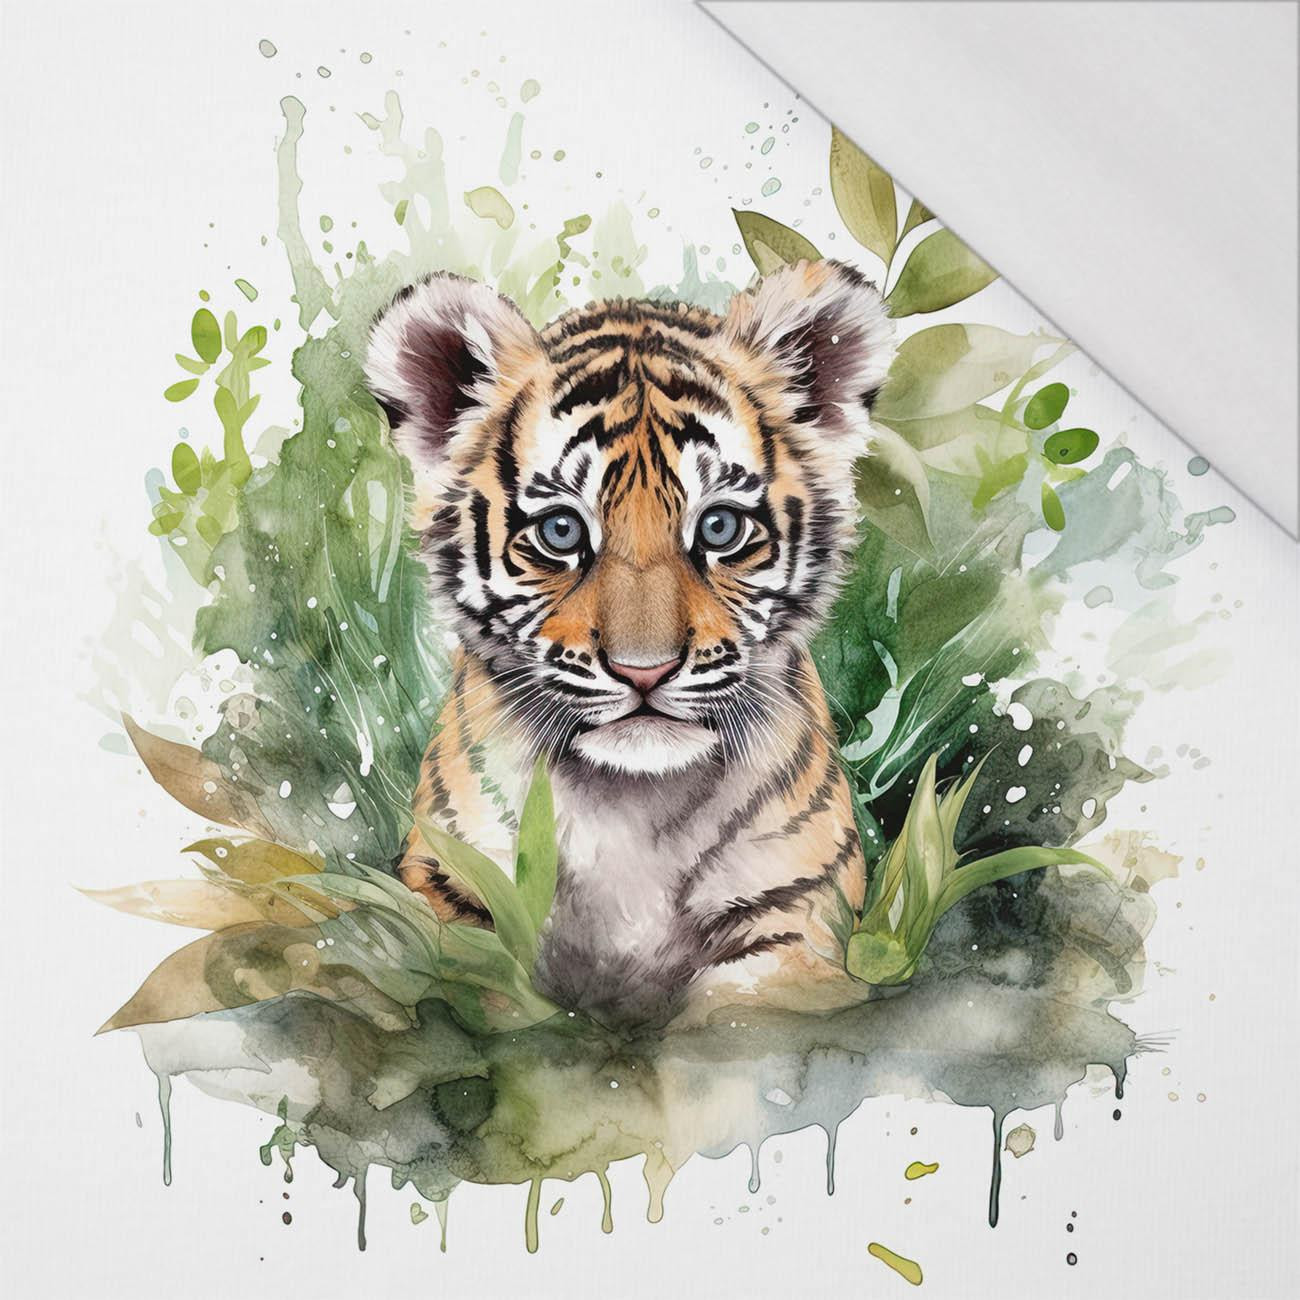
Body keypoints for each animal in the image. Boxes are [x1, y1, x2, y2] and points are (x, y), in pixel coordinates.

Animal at [363, 257, 896, 1026]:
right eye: (560, 532)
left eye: (720, 528)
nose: (645, 672)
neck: (633, 806)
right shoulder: (451, 887)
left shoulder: (794, 918)